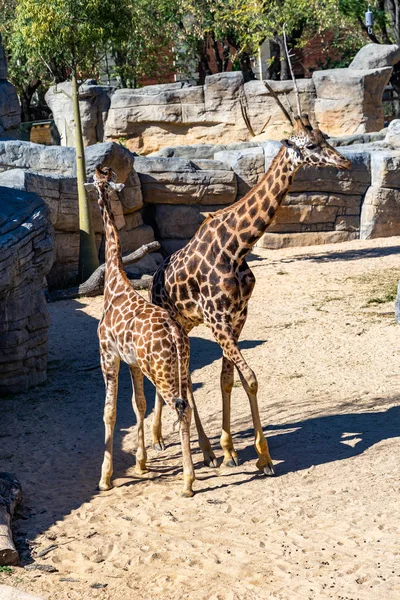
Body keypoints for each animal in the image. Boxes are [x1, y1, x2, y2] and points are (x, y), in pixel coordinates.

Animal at [92, 164, 195, 496]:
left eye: (97, 179)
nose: (95, 175)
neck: (113, 283)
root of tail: (175, 333)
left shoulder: (108, 355)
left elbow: (109, 412)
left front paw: (105, 478)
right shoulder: (133, 362)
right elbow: (139, 405)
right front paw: (140, 463)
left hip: (160, 371)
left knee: (181, 409)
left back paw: (188, 482)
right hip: (178, 366)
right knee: (184, 406)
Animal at [149, 116, 350, 474]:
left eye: (325, 137)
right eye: (311, 145)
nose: (345, 162)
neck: (237, 247)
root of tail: (153, 284)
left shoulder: (238, 315)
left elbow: (231, 379)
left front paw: (233, 450)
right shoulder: (218, 319)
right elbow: (251, 377)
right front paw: (260, 456)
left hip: (186, 326)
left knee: (182, 378)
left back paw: (175, 441)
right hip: (175, 326)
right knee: (182, 379)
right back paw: (197, 449)